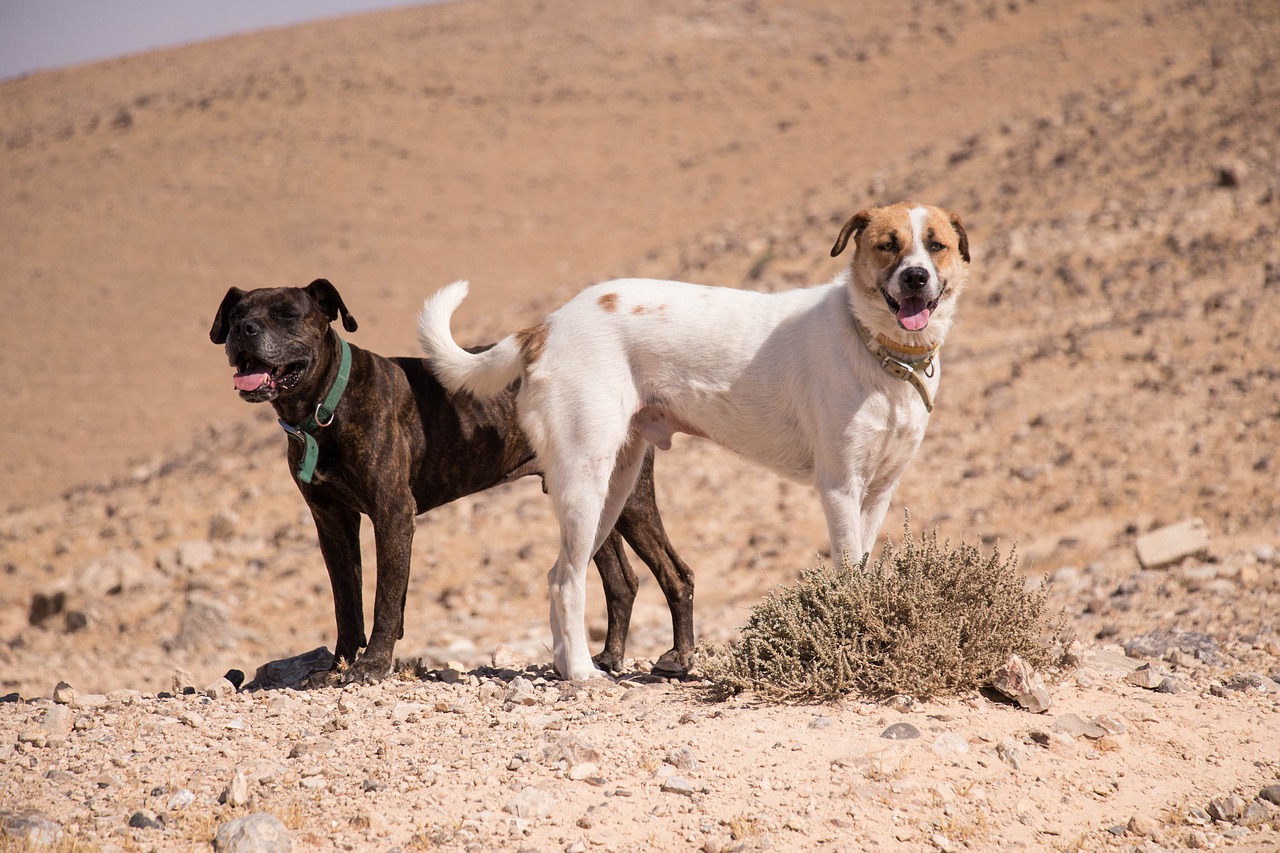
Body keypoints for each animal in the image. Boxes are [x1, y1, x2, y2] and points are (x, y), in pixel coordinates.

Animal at [212, 280, 691, 686]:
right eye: (235, 315)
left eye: (287, 313)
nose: (244, 330)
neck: (325, 407)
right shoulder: (331, 521)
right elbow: (346, 602)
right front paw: (337, 667)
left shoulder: (393, 515)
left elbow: (386, 599)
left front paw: (371, 667)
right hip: (589, 498)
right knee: (621, 581)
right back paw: (605, 660)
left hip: (628, 499)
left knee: (675, 573)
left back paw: (677, 658)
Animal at [419, 201, 967, 676]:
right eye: (888, 245)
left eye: (936, 245)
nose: (915, 277)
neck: (880, 350)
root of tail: (548, 325)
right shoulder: (839, 487)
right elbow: (848, 573)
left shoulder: (877, 493)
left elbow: (864, 571)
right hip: (584, 481)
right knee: (566, 580)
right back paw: (582, 674)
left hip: (616, 488)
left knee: (561, 575)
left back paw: (567, 668)